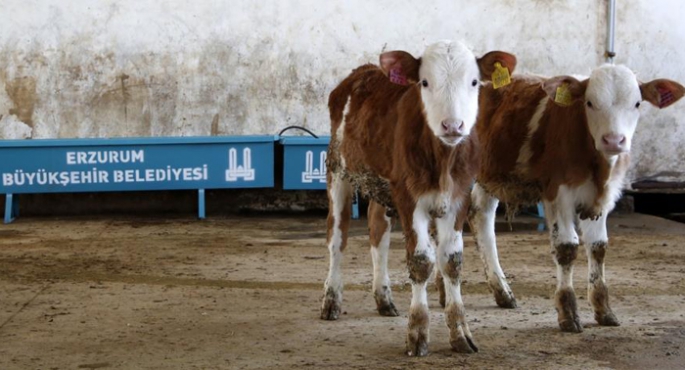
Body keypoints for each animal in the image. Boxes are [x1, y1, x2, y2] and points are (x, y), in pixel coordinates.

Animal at [320, 40, 512, 356]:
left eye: (474, 82)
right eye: (425, 82)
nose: (452, 125)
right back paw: (331, 299)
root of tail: (361, 72)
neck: (443, 159)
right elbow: (421, 261)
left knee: (378, 233)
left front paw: (461, 333)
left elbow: (451, 261)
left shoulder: (459, 198)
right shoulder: (409, 198)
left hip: (382, 185)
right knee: (337, 236)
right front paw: (418, 333)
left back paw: (383, 298)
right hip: (337, 170)